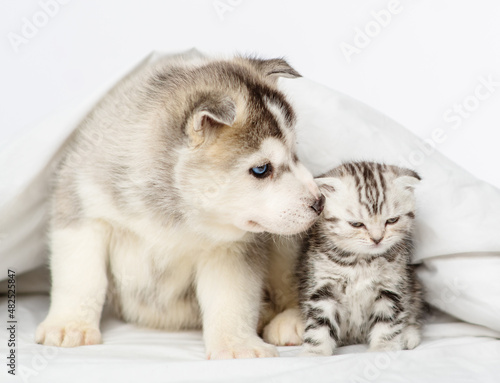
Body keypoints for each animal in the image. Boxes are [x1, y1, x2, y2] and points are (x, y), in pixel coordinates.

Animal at [36, 51, 324, 360]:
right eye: (261, 169)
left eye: (295, 154)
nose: (320, 202)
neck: (170, 213)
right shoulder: (81, 208)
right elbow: (81, 278)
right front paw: (69, 325)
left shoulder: (230, 249)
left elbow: (232, 298)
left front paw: (237, 344)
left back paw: (292, 320)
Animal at [298, 162, 424, 356]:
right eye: (356, 224)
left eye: (392, 220)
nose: (377, 239)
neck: (361, 261)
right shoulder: (325, 285)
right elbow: (320, 322)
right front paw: (315, 352)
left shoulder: (391, 285)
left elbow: (388, 320)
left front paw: (383, 348)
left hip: (414, 288)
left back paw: (408, 335)